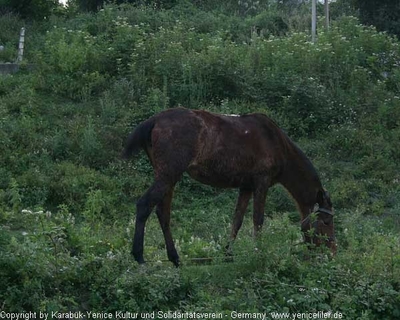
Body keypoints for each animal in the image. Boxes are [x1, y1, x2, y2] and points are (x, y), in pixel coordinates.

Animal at [122, 108, 334, 268]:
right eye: (326, 221)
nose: (331, 252)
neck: (277, 143)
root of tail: (154, 121)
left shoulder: (246, 187)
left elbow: (237, 220)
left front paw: (228, 254)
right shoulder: (261, 182)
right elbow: (258, 219)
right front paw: (258, 252)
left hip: (168, 177)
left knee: (163, 213)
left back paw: (175, 258)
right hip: (169, 174)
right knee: (144, 205)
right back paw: (139, 256)